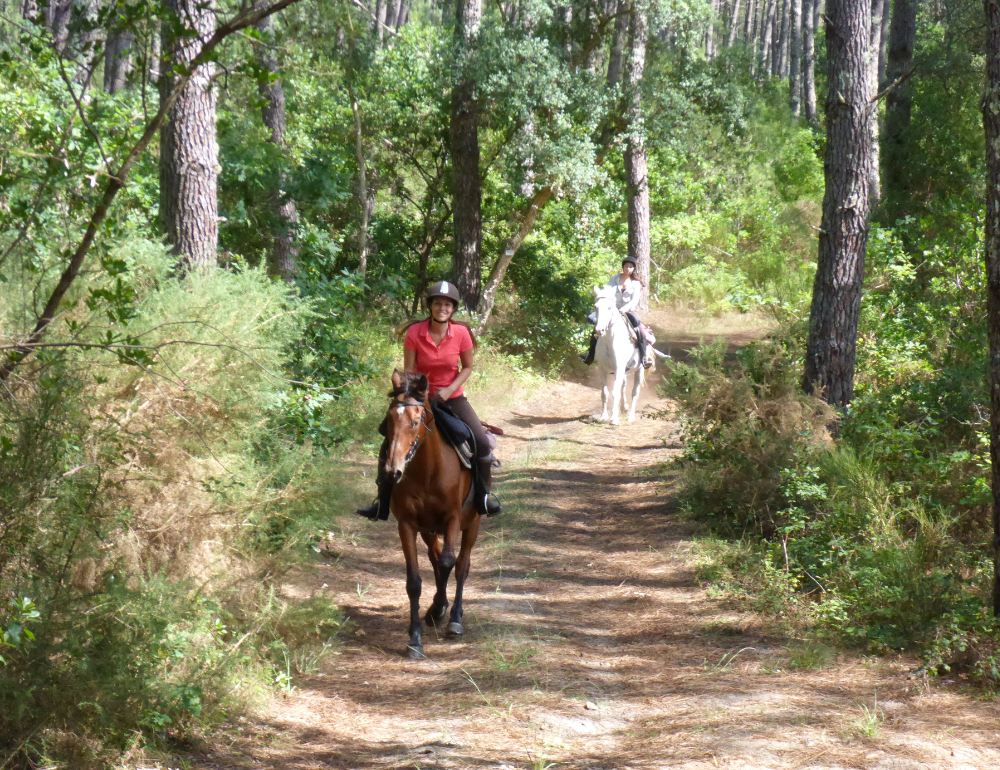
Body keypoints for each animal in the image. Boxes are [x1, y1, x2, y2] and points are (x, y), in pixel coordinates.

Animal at [382, 368, 480, 656]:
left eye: (415, 422)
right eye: (389, 420)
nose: (392, 471)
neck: (428, 471)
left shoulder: (453, 519)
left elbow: (450, 562)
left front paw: (438, 611)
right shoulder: (407, 524)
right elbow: (414, 581)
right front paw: (415, 636)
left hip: (473, 524)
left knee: (461, 565)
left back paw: (454, 616)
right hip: (428, 530)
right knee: (436, 558)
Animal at [588, 284, 644, 426]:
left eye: (609, 307)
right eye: (596, 306)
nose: (599, 330)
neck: (609, 341)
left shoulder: (619, 368)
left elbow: (615, 392)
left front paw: (613, 419)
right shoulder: (602, 369)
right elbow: (604, 392)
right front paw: (604, 417)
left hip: (640, 370)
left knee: (635, 392)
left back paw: (630, 416)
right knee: (624, 386)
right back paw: (624, 408)